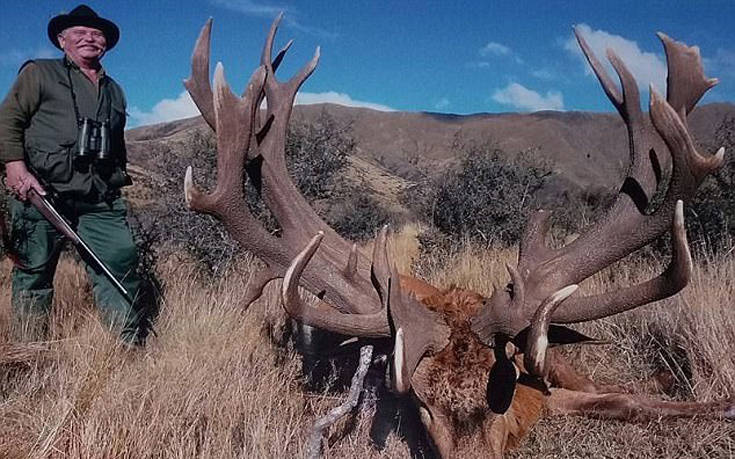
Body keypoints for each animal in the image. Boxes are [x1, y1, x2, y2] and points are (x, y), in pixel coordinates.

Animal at [183, 15, 735, 459]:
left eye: (503, 394)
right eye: (420, 405)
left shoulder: (548, 377)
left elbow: (627, 397)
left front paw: (718, 403)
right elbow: (621, 399)